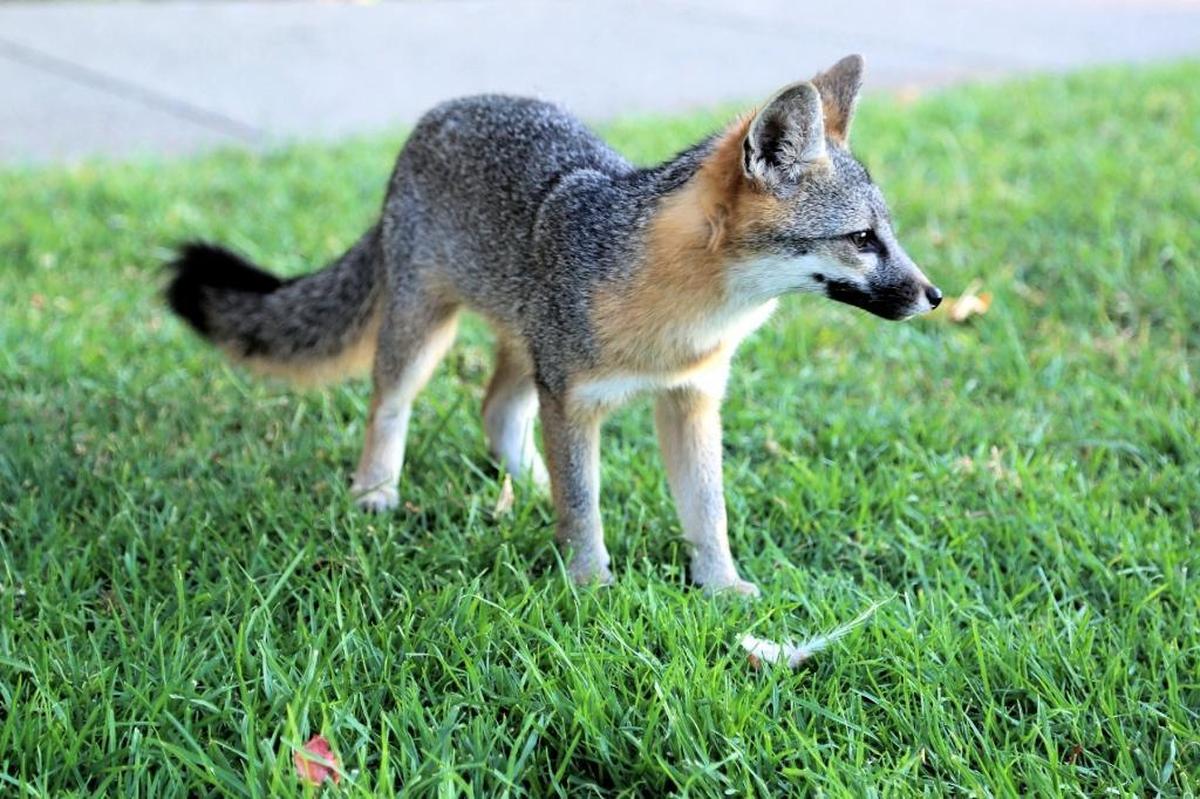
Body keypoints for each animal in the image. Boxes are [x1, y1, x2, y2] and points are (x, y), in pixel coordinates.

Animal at [166, 54, 940, 596]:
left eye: (889, 235)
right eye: (863, 239)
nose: (934, 296)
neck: (678, 319)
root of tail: (441, 112)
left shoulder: (689, 398)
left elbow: (706, 512)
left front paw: (721, 588)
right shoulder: (573, 397)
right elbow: (587, 506)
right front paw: (591, 585)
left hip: (524, 347)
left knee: (496, 411)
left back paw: (531, 483)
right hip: (427, 337)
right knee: (390, 405)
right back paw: (376, 491)